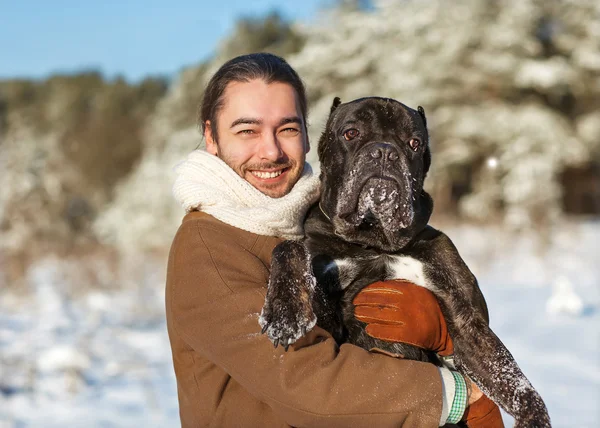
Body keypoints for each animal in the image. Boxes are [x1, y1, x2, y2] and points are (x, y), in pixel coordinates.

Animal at [260, 98, 552, 428]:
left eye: (414, 142)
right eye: (350, 132)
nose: (385, 152)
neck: (375, 241)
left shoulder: (468, 323)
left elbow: (513, 379)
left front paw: (533, 417)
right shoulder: (328, 315)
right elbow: (289, 247)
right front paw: (285, 313)